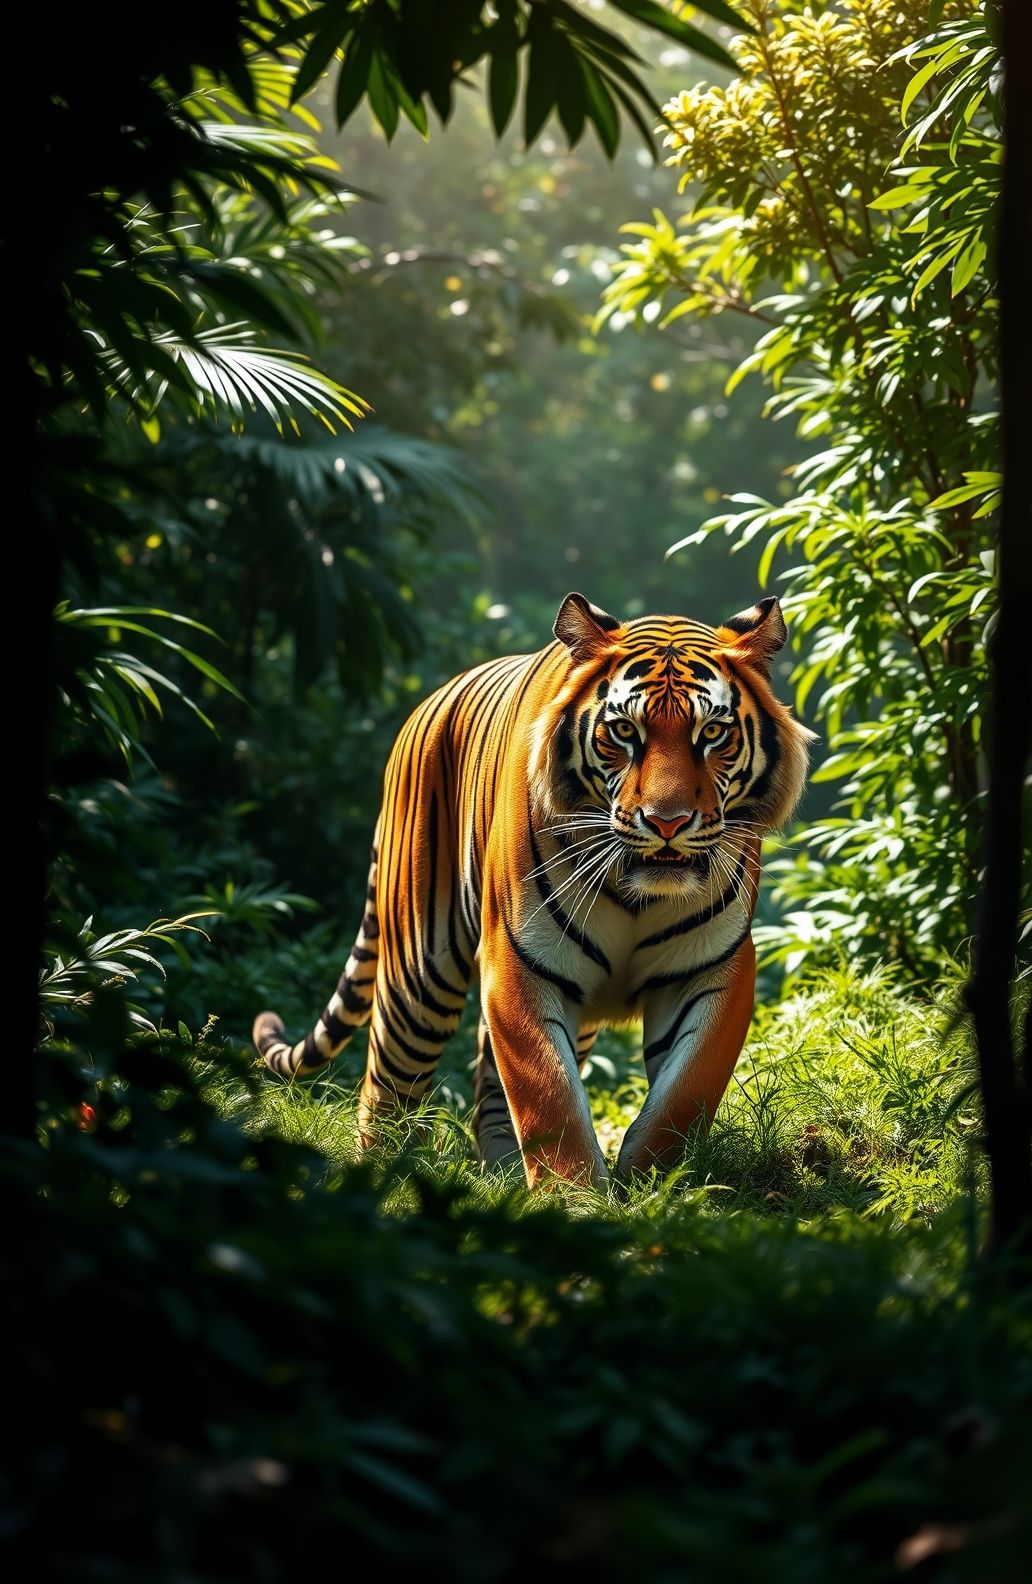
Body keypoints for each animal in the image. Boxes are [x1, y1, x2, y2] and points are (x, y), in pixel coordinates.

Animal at [253, 593, 814, 1188]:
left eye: (711, 734)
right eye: (624, 732)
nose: (668, 822)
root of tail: (423, 709)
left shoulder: (712, 971)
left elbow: (683, 1096)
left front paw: (656, 1186)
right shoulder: (519, 965)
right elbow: (549, 1098)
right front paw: (578, 1198)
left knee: (487, 1097)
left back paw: (502, 1178)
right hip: (418, 974)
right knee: (388, 1085)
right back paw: (380, 1174)